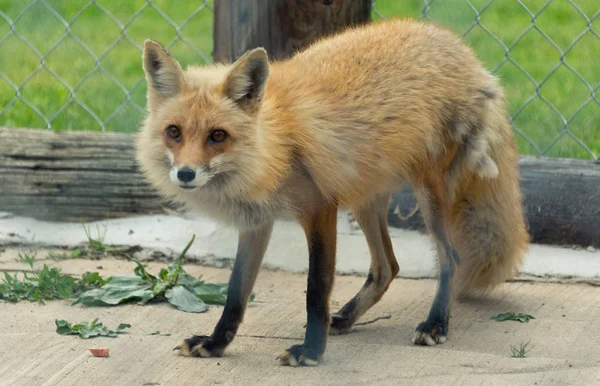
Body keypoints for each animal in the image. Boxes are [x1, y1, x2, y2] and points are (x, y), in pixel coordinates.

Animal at [137, 18, 528, 366]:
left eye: (217, 136)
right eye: (174, 132)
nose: (185, 174)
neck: (273, 148)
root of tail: (460, 48)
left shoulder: (319, 210)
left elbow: (316, 289)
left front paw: (310, 352)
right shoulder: (256, 223)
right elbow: (236, 293)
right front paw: (216, 344)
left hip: (427, 191)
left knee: (450, 258)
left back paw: (435, 324)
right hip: (365, 198)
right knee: (387, 266)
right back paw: (346, 318)